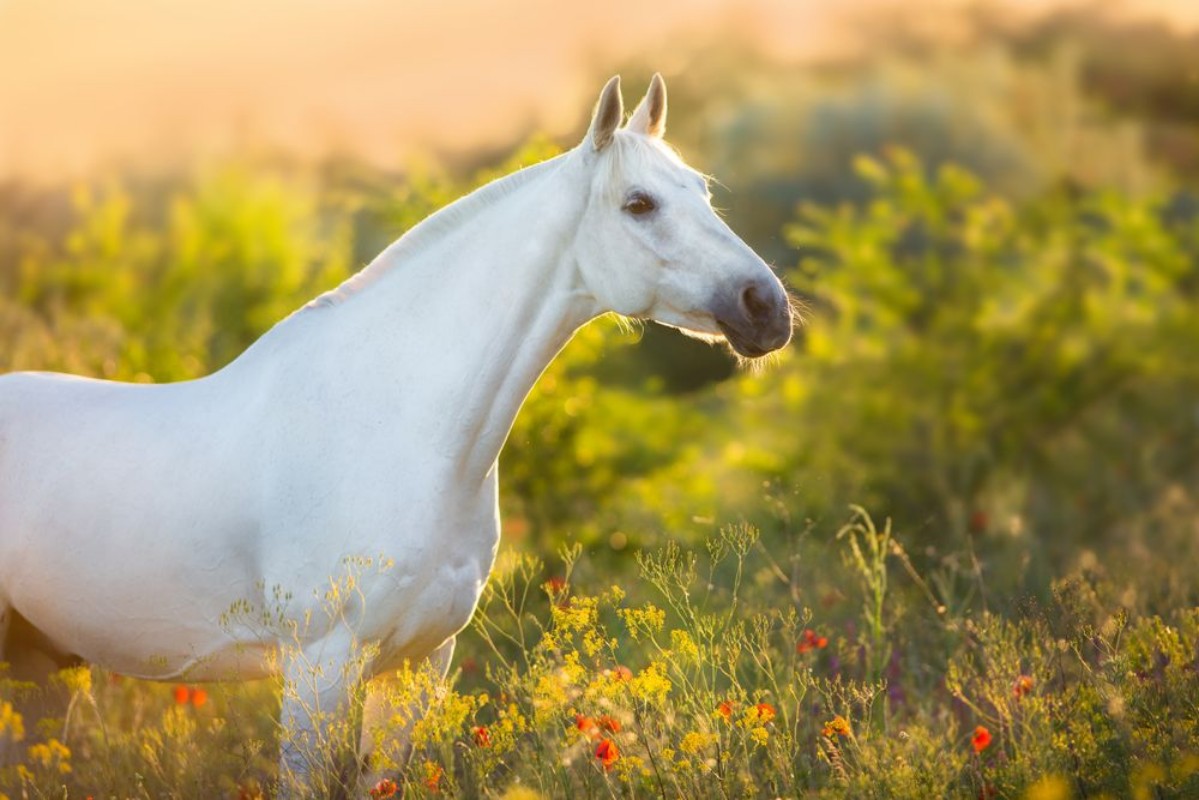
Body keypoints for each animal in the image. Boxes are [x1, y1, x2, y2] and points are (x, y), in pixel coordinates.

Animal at [0, 74, 792, 794]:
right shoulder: (319, 667)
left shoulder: (417, 664)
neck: (400, 429)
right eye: (638, 203)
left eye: (703, 190)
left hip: (36, 664)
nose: (767, 307)